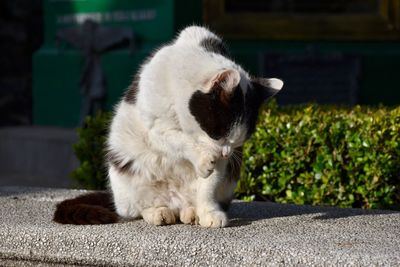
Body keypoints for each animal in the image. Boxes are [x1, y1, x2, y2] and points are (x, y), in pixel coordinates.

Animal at [54, 26, 284, 229]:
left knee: (191, 202)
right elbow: (178, 140)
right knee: (140, 208)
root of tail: (175, 200)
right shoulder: (155, 128)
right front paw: (201, 157)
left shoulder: (219, 166)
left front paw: (208, 212)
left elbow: (208, 186)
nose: (226, 154)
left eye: (238, 142)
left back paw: (192, 213)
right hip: (126, 184)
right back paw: (158, 212)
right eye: (218, 134)